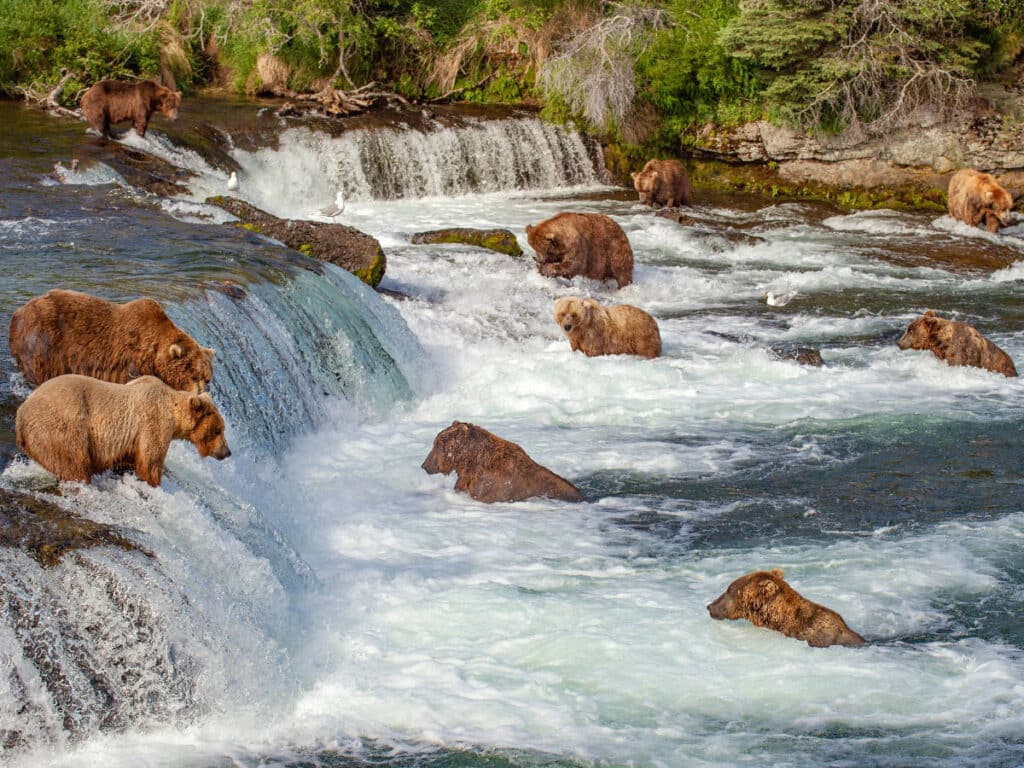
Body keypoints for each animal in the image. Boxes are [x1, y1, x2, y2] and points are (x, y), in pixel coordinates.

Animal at [9, 289, 215, 394]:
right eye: (194, 376)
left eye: (207, 378)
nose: (201, 392)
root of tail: (19, 312)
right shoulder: (129, 364)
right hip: (44, 344)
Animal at [15, 374, 231, 487]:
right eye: (219, 430)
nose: (227, 452)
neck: (173, 412)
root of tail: (20, 415)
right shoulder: (153, 423)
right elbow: (150, 462)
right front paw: (152, 482)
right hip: (62, 427)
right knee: (73, 463)